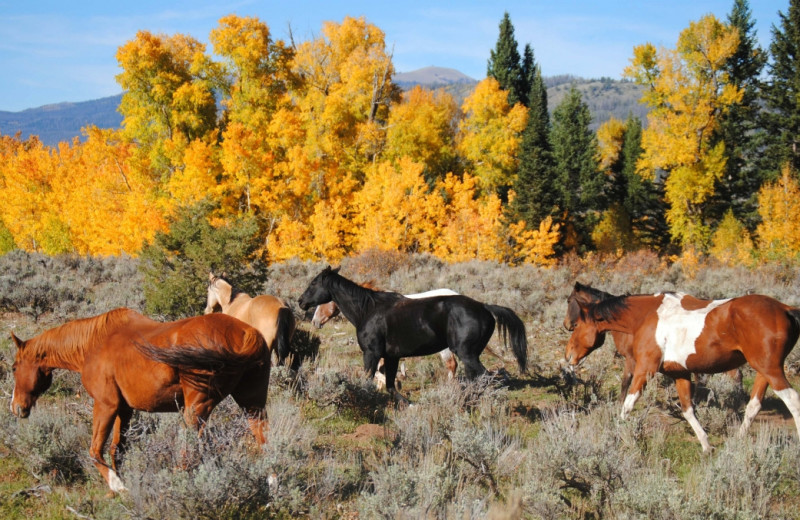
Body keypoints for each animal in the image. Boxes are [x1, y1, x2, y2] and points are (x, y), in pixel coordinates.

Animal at [9, 306, 270, 494]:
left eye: (13, 367)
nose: (16, 408)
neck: (94, 343)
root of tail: (247, 333)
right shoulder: (124, 410)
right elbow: (117, 449)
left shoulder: (106, 405)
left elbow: (95, 450)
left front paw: (116, 484)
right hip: (252, 405)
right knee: (264, 440)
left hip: (196, 410)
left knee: (190, 450)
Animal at [564, 288, 800, 450]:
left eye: (577, 325)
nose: (568, 356)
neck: (647, 316)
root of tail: (785, 309)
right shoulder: (680, 374)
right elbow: (687, 409)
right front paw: (706, 445)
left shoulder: (644, 369)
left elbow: (627, 404)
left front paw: (615, 434)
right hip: (764, 371)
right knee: (753, 406)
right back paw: (737, 442)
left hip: (771, 370)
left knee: (793, 399)